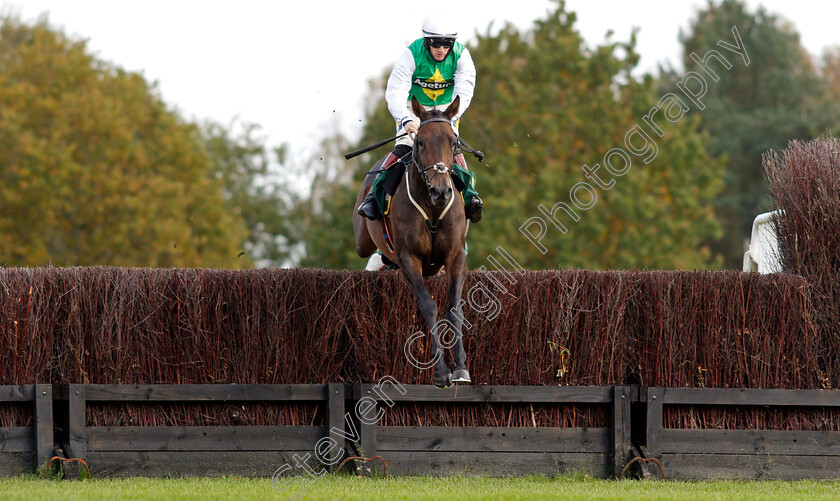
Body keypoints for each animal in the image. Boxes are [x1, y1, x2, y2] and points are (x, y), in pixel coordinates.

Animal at [352, 96, 470, 386]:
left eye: (453, 142)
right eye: (420, 142)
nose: (441, 191)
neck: (432, 207)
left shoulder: (456, 256)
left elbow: (454, 308)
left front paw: (461, 369)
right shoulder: (409, 258)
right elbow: (428, 306)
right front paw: (441, 372)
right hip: (362, 240)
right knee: (374, 252)